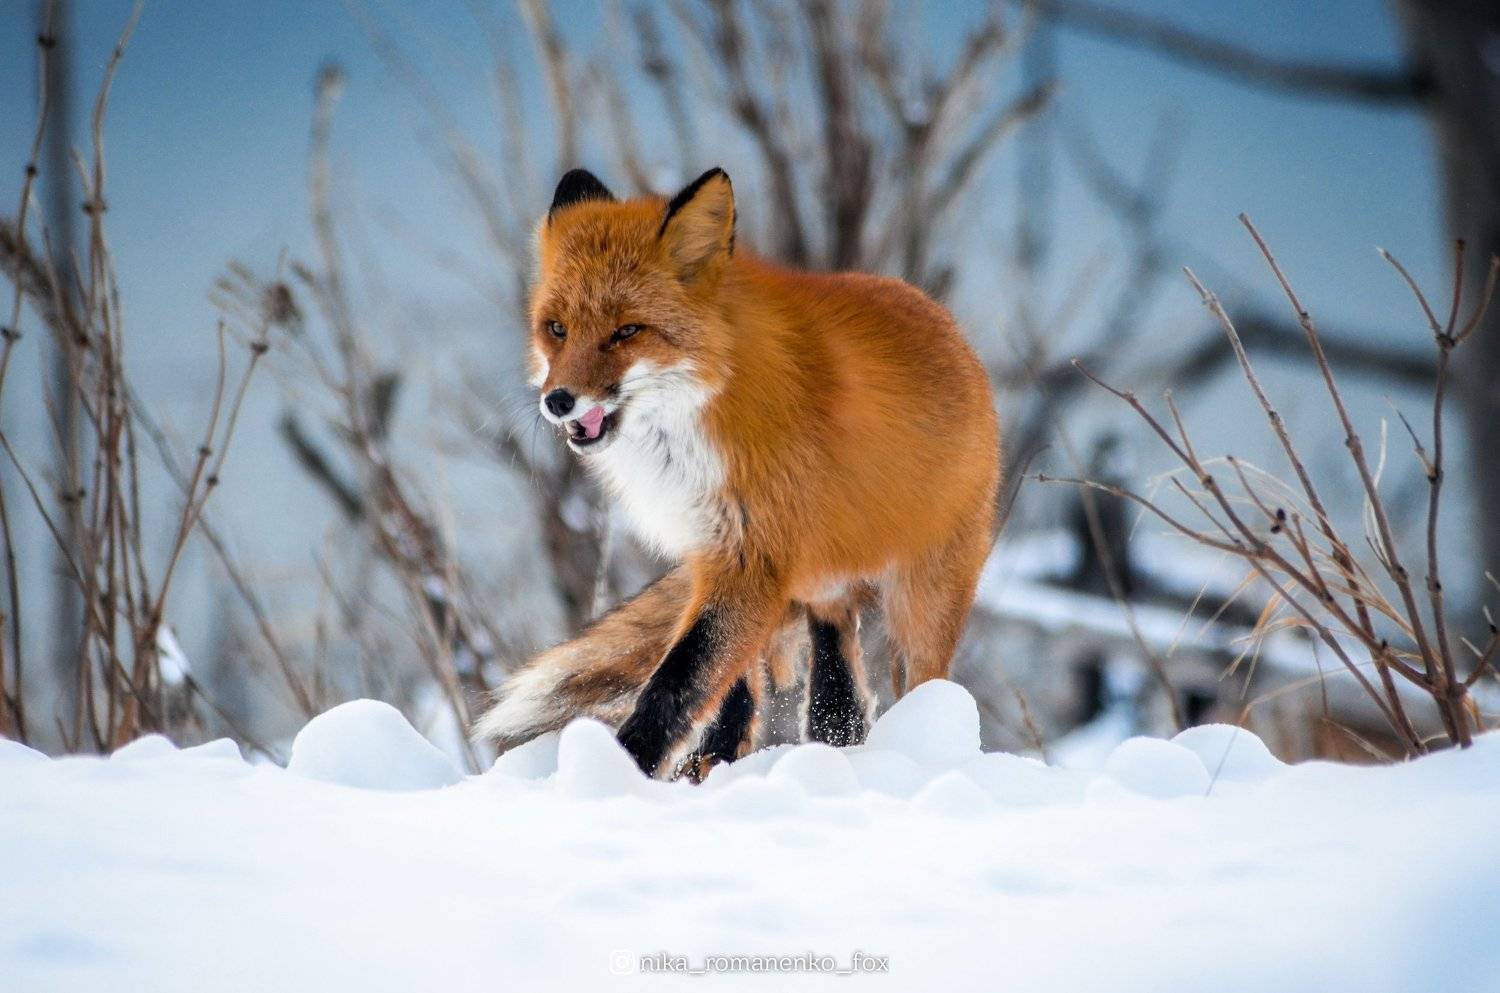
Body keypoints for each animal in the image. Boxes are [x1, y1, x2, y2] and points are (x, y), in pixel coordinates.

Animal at [473, 166, 1000, 778]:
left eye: (627, 332)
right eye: (556, 329)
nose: (558, 401)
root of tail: (946, 323)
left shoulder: (750, 559)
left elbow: (678, 681)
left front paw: (619, 772)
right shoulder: (716, 555)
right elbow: (723, 691)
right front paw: (700, 771)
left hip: (923, 601)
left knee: (925, 686)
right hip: (824, 586)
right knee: (835, 689)